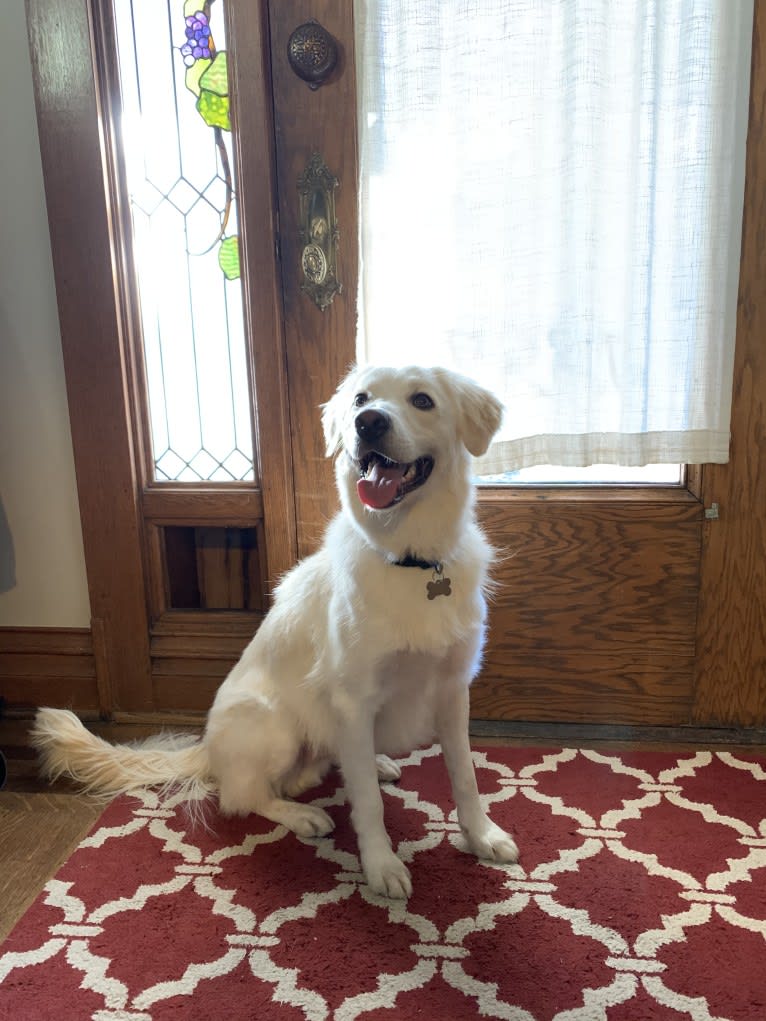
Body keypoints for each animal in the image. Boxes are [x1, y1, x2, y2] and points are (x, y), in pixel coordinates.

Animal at [32, 363, 518, 898]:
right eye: (361, 399)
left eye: (423, 400)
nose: (368, 423)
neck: (410, 558)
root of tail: (207, 749)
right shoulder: (353, 700)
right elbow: (368, 804)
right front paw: (381, 864)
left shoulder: (453, 690)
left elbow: (465, 776)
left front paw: (481, 836)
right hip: (276, 724)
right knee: (243, 796)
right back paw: (303, 814)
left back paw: (368, 765)